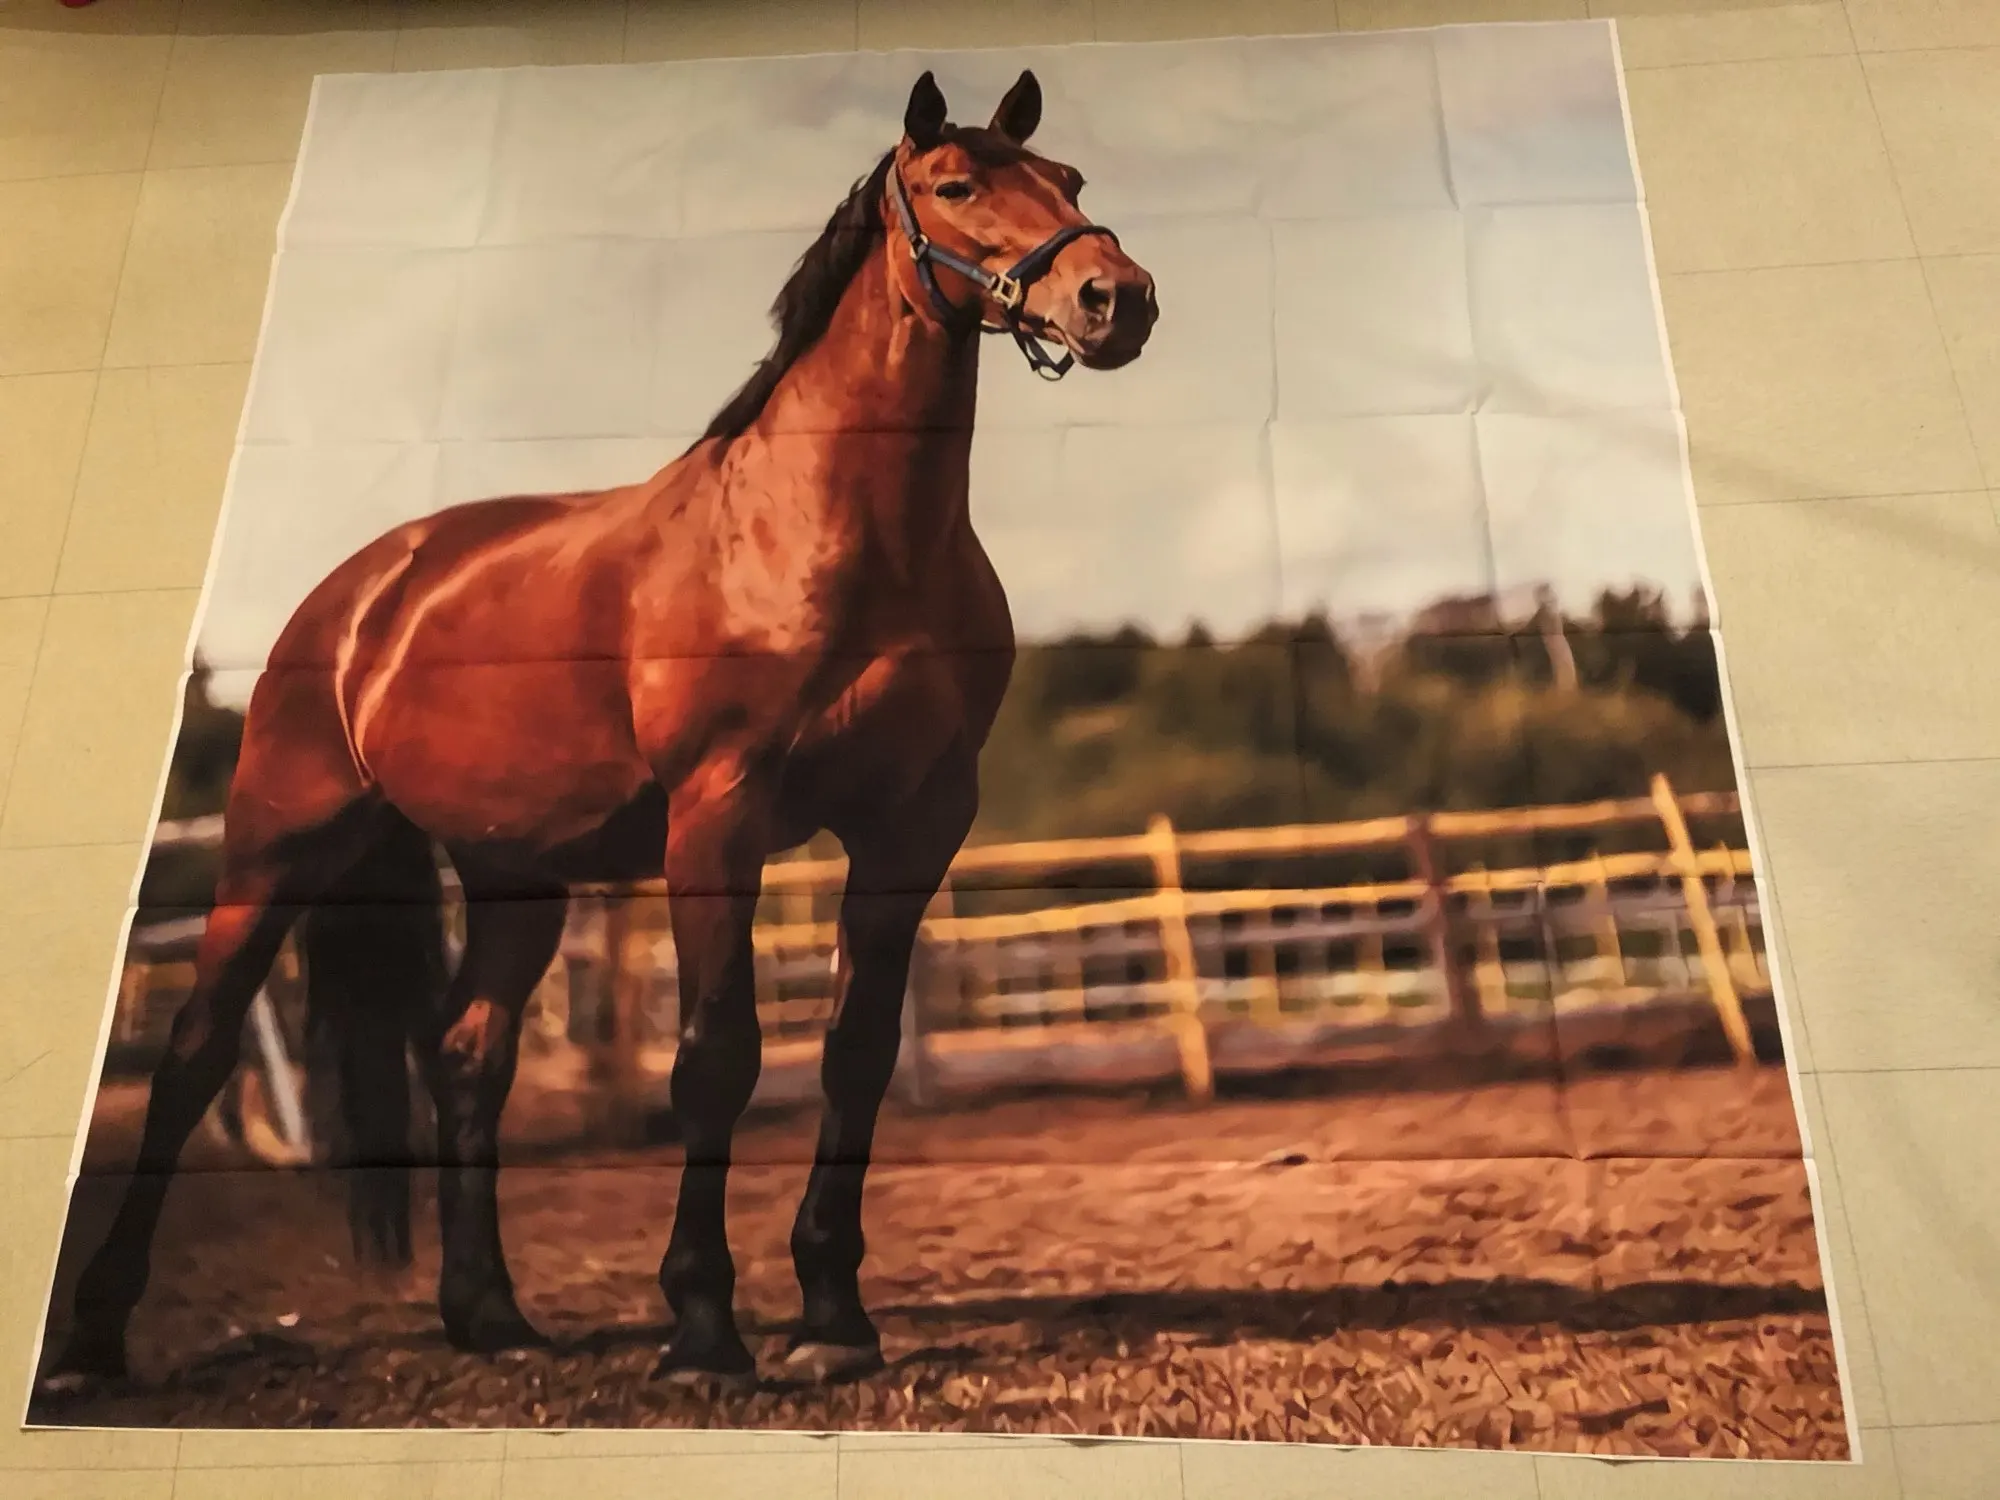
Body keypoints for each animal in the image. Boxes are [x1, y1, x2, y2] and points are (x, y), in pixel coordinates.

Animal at [46, 68, 1156, 1393]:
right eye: (953, 186)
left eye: (1071, 181)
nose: (1116, 299)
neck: (822, 533)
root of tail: (363, 592)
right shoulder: (716, 818)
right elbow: (716, 1055)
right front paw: (702, 1329)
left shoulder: (912, 829)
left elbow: (856, 1054)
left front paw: (832, 1321)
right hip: (276, 852)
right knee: (192, 1055)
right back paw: (93, 1340)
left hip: (515, 879)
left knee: (467, 1057)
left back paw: (489, 1314)